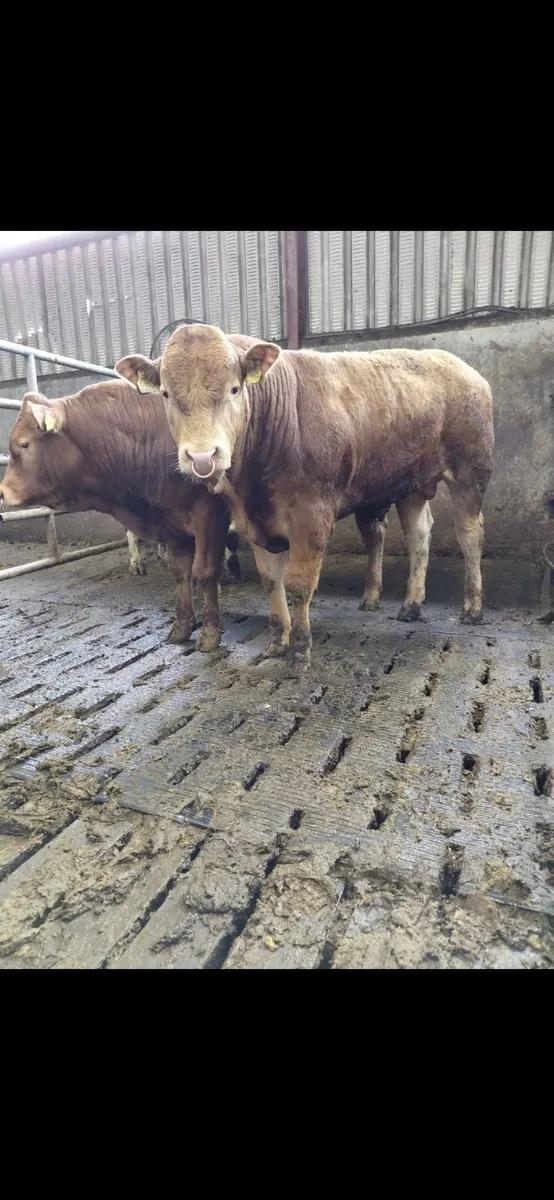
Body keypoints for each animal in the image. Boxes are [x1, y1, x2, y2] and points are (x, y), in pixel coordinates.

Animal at [0, 379, 238, 651]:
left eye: (24, 444)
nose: (3, 492)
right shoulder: (172, 521)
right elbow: (180, 574)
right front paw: (181, 628)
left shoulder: (209, 515)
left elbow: (207, 572)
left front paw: (209, 632)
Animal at [116, 326, 494, 667]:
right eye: (166, 394)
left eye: (235, 389)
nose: (202, 457)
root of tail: (458, 364)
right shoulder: (254, 519)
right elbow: (272, 582)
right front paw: (276, 643)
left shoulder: (311, 516)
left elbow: (298, 584)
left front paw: (299, 649)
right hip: (411, 483)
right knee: (419, 534)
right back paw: (410, 606)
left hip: (471, 470)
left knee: (470, 534)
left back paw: (472, 608)